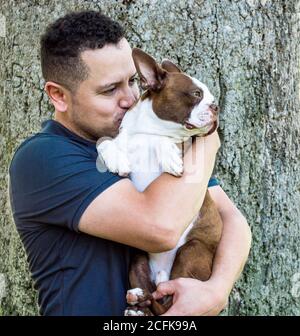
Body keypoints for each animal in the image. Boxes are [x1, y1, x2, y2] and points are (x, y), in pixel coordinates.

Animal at [96, 48, 223, 316]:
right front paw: (116, 159)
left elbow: (160, 140)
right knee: (152, 298)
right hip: (138, 260)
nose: (216, 106)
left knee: (167, 301)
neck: (143, 130)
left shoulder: (186, 149)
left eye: (209, 96)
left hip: (191, 250)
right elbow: (104, 142)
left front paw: (168, 155)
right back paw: (136, 304)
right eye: (196, 94)